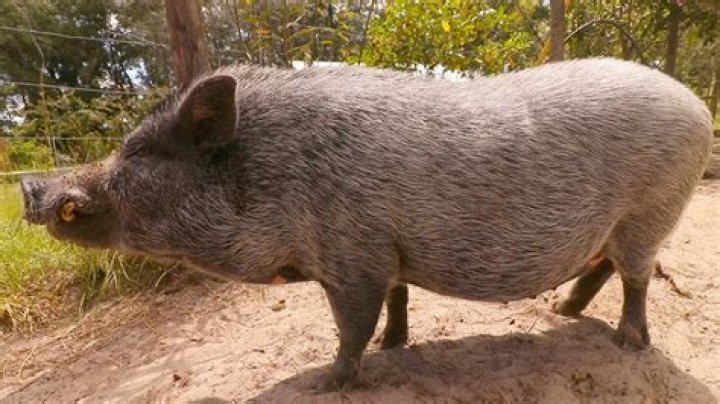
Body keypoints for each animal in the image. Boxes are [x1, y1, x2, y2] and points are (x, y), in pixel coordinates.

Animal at [21, 58, 713, 390]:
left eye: (138, 152)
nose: (31, 187)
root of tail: (697, 104)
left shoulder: (353, 255)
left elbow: (352, 323)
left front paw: (328, 383)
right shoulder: (383, 250)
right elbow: (397, 301)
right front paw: (393, 347)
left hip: (650, 209)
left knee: (636, 276)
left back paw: (625, 344)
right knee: (603, 268)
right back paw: (562, 313)